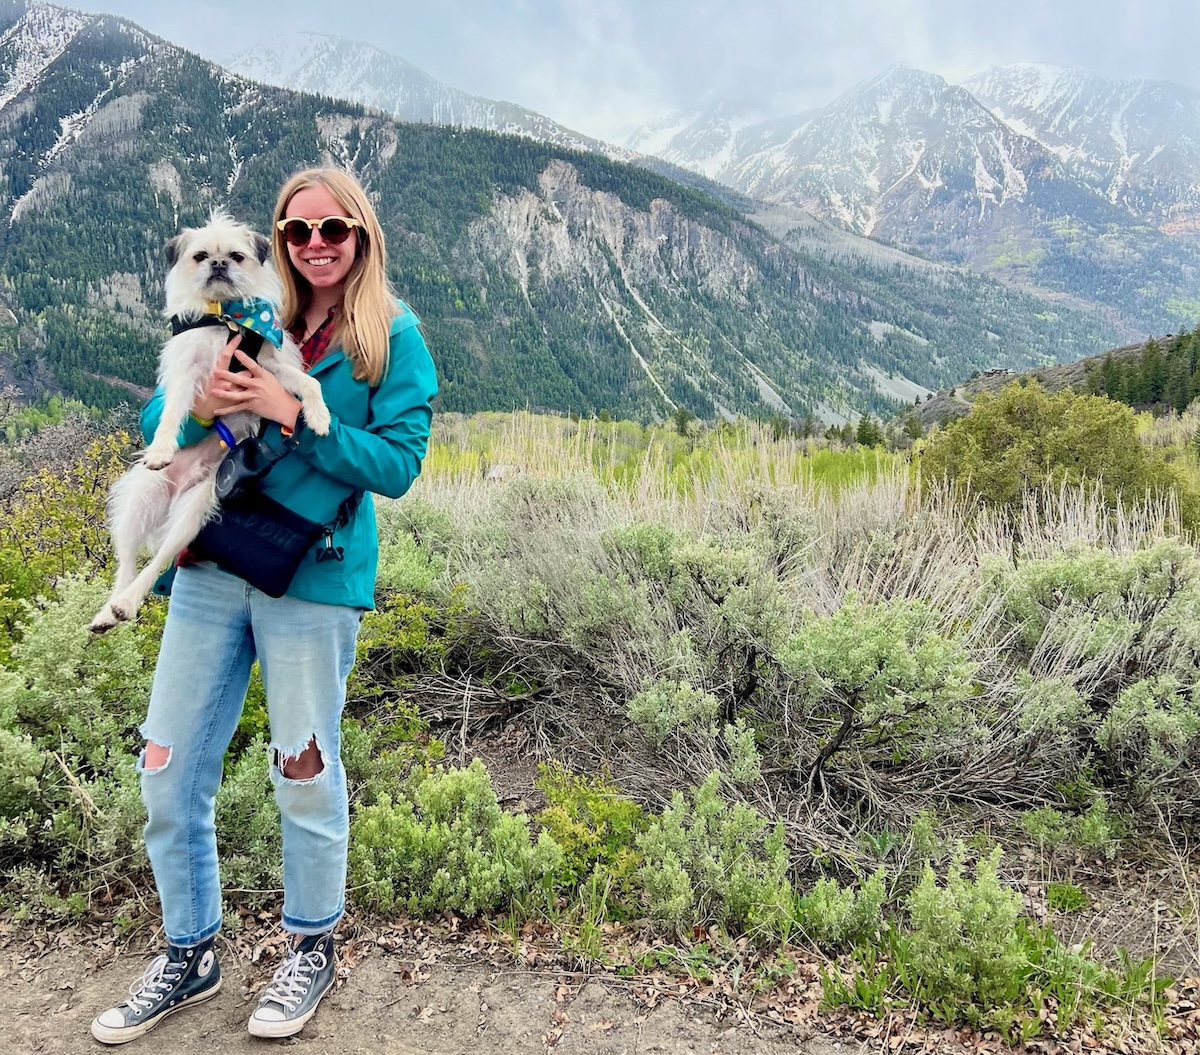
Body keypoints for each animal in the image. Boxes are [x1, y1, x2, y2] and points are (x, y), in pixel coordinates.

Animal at [85, 210, 331, 628]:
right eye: (200, 256)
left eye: (236, 256)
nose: (217, 264)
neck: (227, 318)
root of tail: (177, 491)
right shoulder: (188, 371)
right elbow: (171, 412)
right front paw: (161, 448)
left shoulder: (269, 367)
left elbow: (309, 382)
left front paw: (318, 415)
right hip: (140, 496)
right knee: (127, 562)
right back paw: (112, 607)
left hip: (194, 510)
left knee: (160, 558)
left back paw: (125, 603)